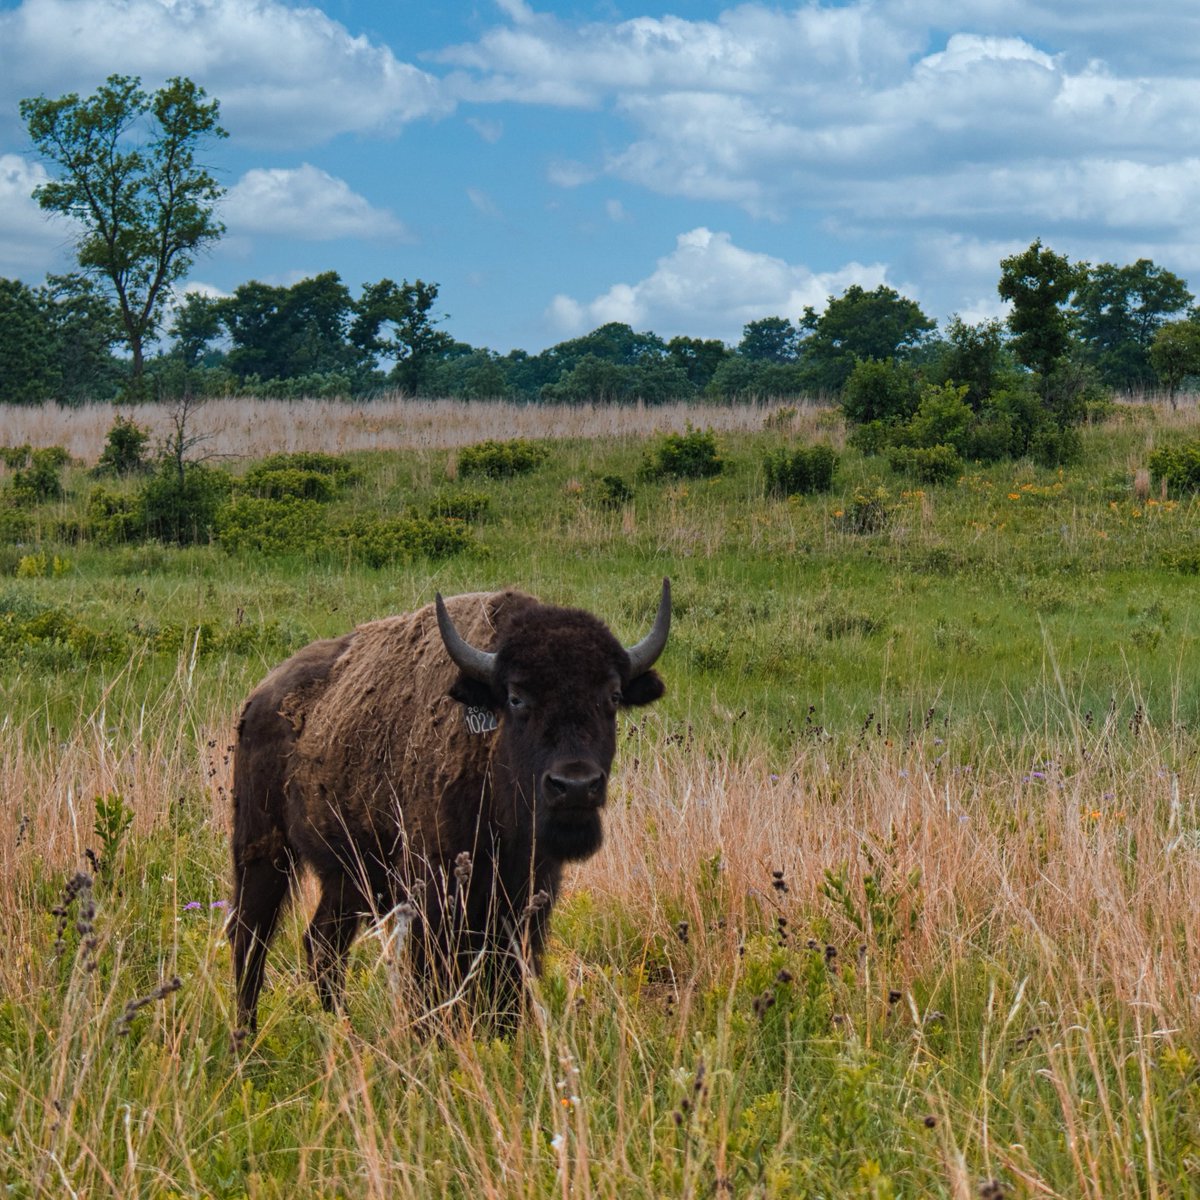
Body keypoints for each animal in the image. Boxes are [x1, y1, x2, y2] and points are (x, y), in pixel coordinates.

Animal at [229, 580, 670, 1032]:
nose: (576, 786)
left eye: (613, 696)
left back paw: (341, 1027)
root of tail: (260, 696)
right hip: (262, 850)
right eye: (516, 697)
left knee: (321, 943)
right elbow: (434, 980)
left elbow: (509, 981)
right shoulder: (435, 891)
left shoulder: (527, 893)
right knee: (251, 938)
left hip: (347, 877)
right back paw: (246, 1036)